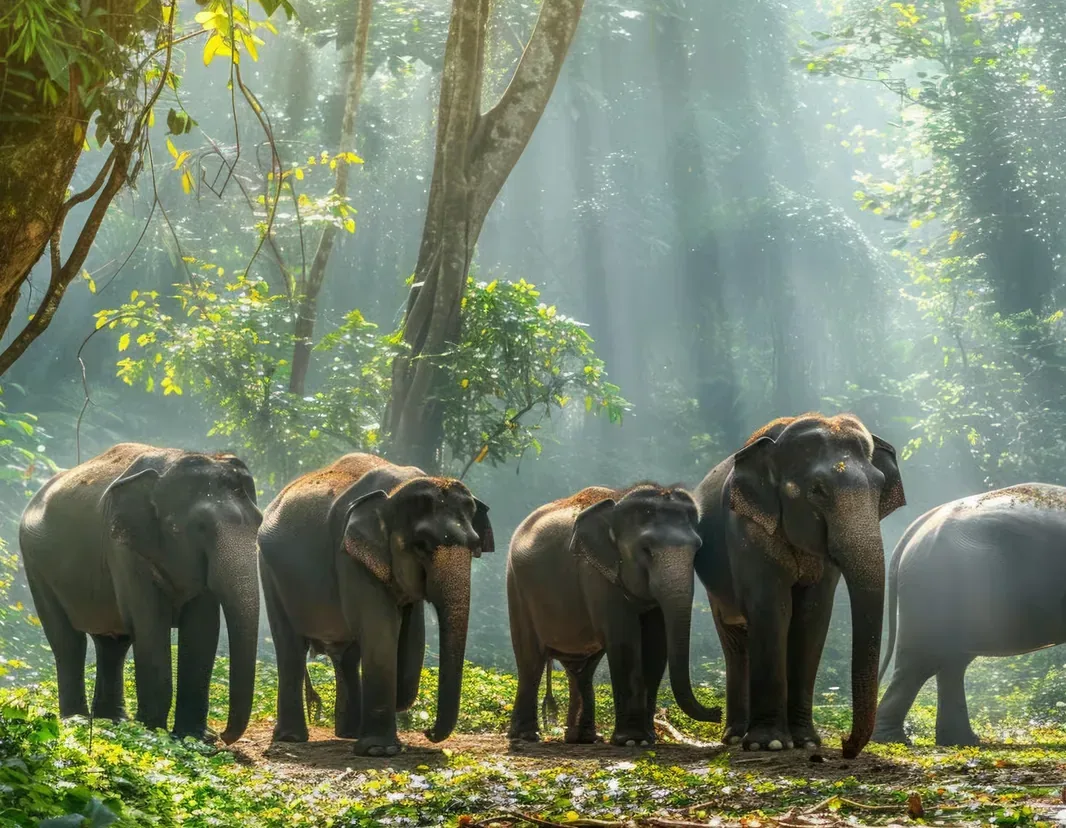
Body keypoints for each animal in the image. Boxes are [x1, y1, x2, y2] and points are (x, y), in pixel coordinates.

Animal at [19, 443, 262, 744]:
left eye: (259, 522)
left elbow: (203, 629)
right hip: (35, 565)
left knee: (113, 644)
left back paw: (112, 720)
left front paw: (192, 737)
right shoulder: (124, 550)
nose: (220, 736)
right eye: (193, 528)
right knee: (68, 641)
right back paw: (76, 720)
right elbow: (150, 625)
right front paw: (153, 732)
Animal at [257, 453, 493, 756]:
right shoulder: (350, 555)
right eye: (422, 545)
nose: (428, 732)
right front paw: (380, 751)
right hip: (268, 569)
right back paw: (291, 738)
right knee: (289, 646)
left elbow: (412, 639)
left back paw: (347, 733)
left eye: (475, 545)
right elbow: (380, 629)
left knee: (347, 655)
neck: (394, 493)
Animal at [506, 483, 722, 747]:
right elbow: (624, 639)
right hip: (517, 586)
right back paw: (526, 737)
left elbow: (656, 645)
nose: (718, 711)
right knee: (530, 659)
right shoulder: (597, 575)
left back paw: (583, 739)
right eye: (646, 550)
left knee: (582, 669)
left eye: (697, 550)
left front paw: (647, 739)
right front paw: (632, 741)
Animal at [693, 413, 905, 758]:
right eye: (817, 490)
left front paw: (806, 741)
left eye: (879, 487)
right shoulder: (747, 527)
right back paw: (736, 737)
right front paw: (769, 744)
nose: (845, 745)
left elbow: (812, 616)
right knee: (736, 643)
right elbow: (772, 608)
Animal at [874, 483, 1066, 746]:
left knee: (950, 663)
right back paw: (894, 740)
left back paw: (960, 740)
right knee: (921, 663)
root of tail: (920, 525)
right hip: (935, 586)